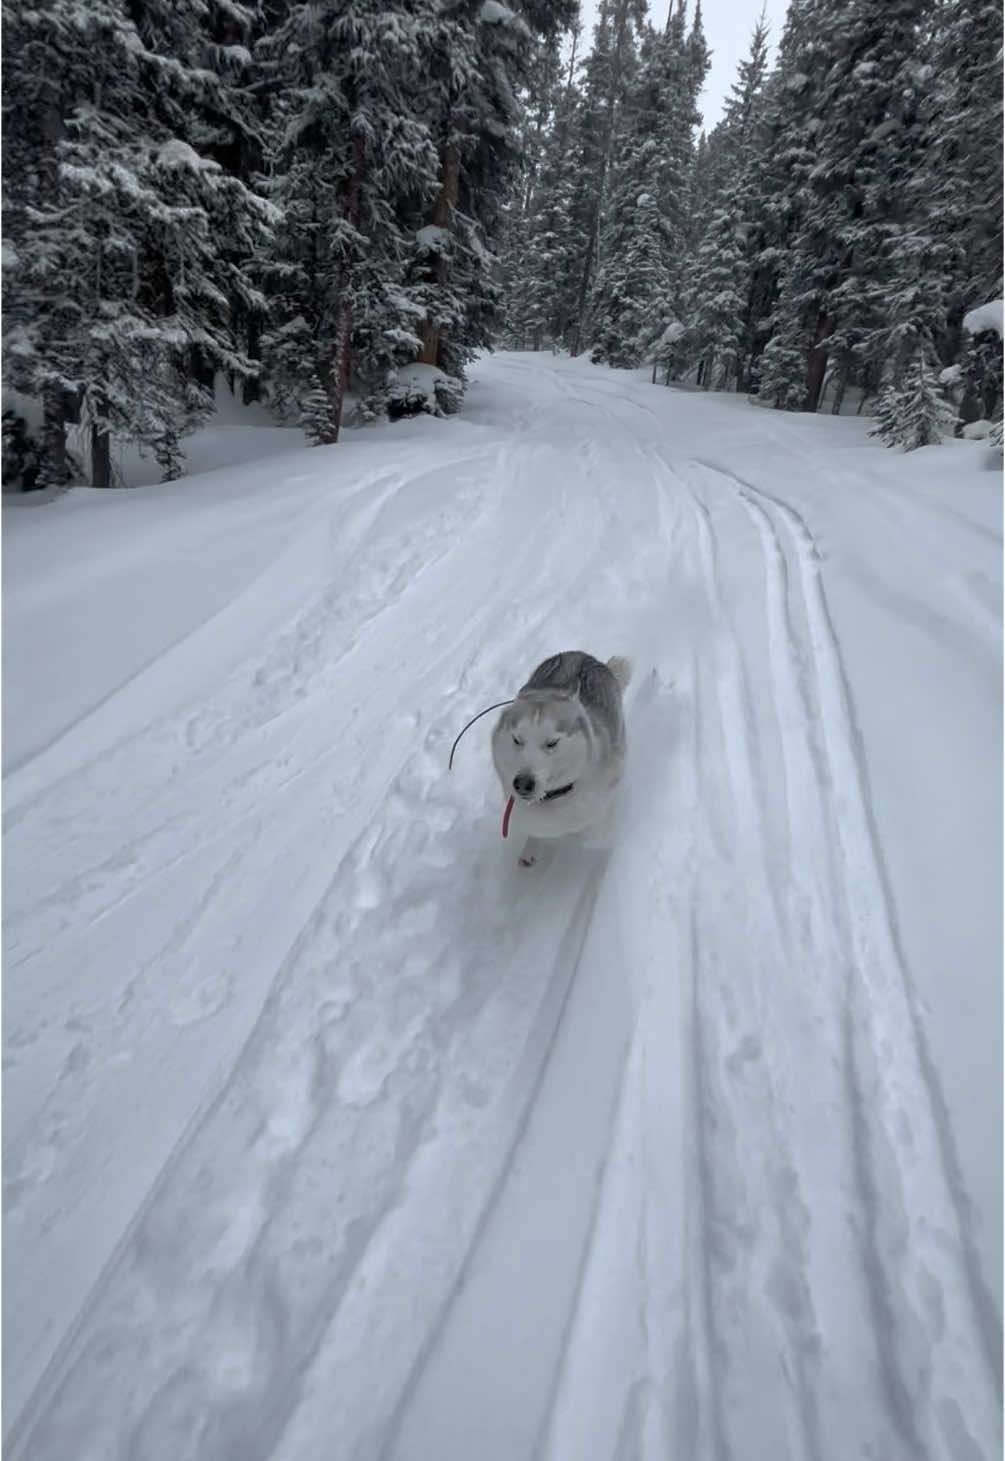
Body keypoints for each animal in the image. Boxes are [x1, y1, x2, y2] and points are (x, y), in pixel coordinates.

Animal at [493, 651, 631, 864]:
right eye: (517, 740)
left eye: (552, 743)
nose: (523, 783)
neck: (552, 798)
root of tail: (582, 655)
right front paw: (531, 851)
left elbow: (595, 835)